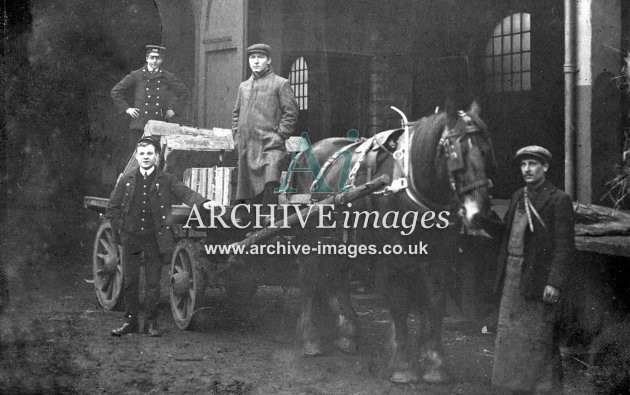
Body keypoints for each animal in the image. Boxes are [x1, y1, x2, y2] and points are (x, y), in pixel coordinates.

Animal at [292, 101, 498, 384]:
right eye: (456, 153)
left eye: (486, 151)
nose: (479, 213)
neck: (410, 185)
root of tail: (308, 151)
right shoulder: (394, 259)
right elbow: (400, 305)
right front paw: (403, 366)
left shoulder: (439, 258)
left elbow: (434, 303)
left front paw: (435, 363)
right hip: (312, 236)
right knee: (308, 277)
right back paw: (311, 338)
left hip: (343, 237)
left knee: (339, 278)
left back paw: (348, 333)